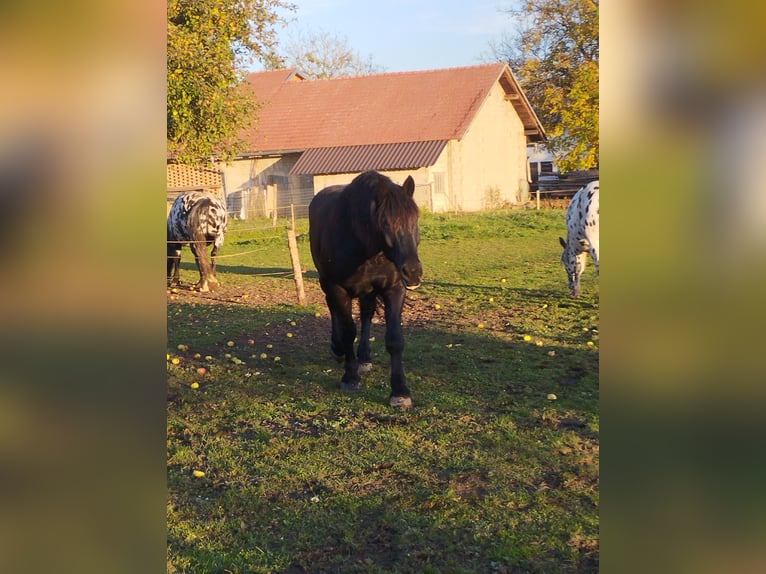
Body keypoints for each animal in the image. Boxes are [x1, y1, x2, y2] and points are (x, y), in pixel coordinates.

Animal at [308, 171, 426, 410]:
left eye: (415, 219)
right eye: (386, 223)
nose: (413, 272)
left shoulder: (394, 288)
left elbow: (394, 339)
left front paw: (400, 392)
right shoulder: (337, 288)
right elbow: (348, 331)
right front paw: (350, 378)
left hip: (368, 291)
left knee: (366, 315)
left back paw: (364, 358)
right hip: (328, 283)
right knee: (334, 311)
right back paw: (338, 349)